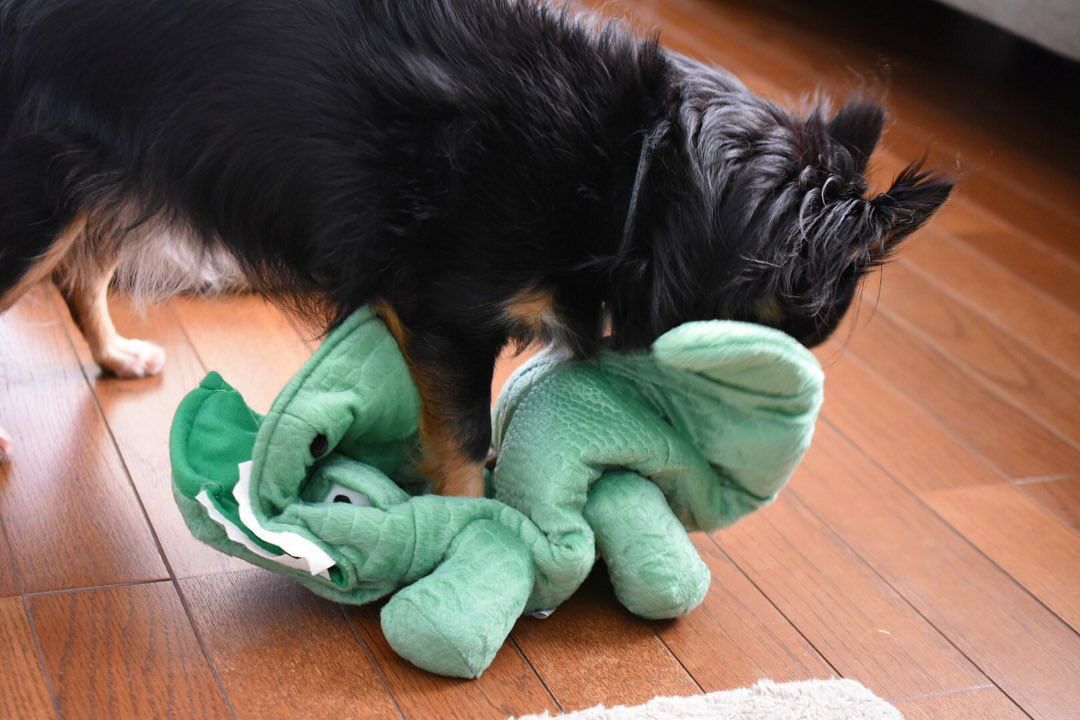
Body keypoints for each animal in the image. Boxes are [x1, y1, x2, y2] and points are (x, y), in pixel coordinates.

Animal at [0, 0, 951, 492]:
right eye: (787, 343)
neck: (641, 171)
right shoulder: (447, 309)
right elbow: (463, 441)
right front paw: (472, 529)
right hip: (40, 190)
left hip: (102, 170)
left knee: (80, 274)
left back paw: (119, 354)